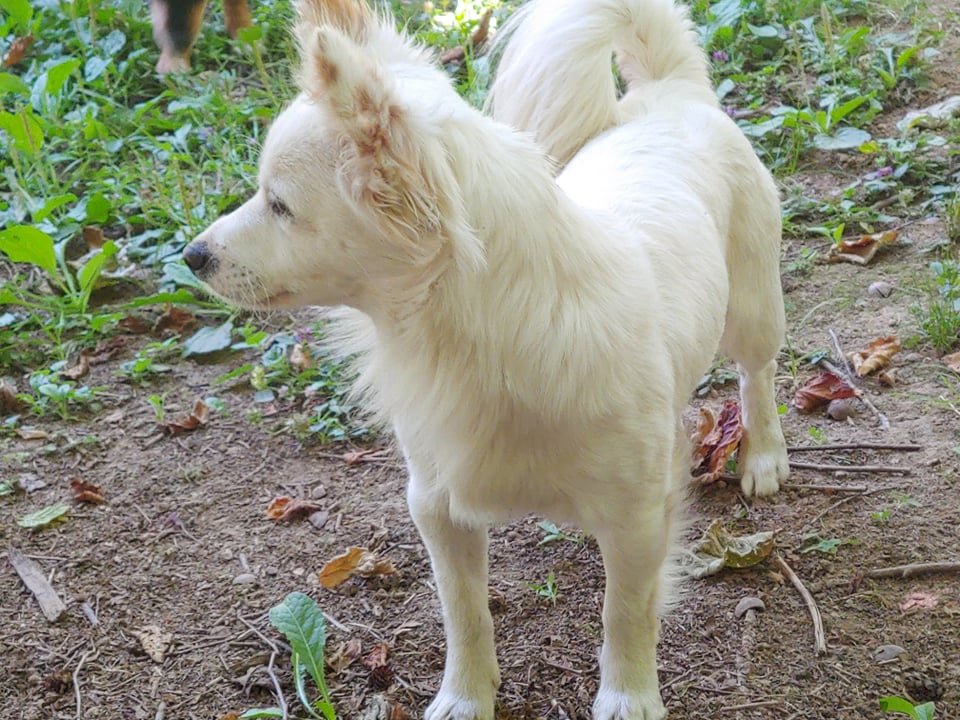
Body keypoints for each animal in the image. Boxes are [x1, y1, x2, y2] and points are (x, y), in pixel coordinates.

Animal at [184, 0, 792, 716]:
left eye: (279, 205)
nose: (192, 255)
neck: (465, 342)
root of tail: (670, 92)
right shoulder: (438, 508)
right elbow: (464, 613)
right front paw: (466, 697)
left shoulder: (638, 517)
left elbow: (626, 613)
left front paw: (628, 695)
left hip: (751, 310)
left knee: (757, 374)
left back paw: (762, 456)